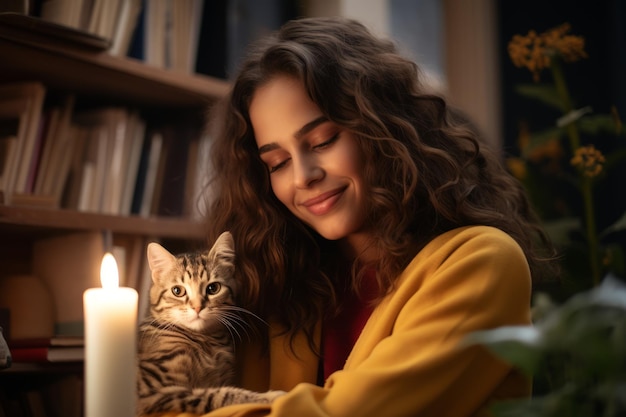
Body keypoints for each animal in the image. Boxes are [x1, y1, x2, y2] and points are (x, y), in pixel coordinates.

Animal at [138, 229, 284, 414]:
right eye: (177, 291)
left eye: (213, 288)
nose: (197, 307)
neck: (205, 342)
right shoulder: (153, 392)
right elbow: (220, 395)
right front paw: (270, 397)